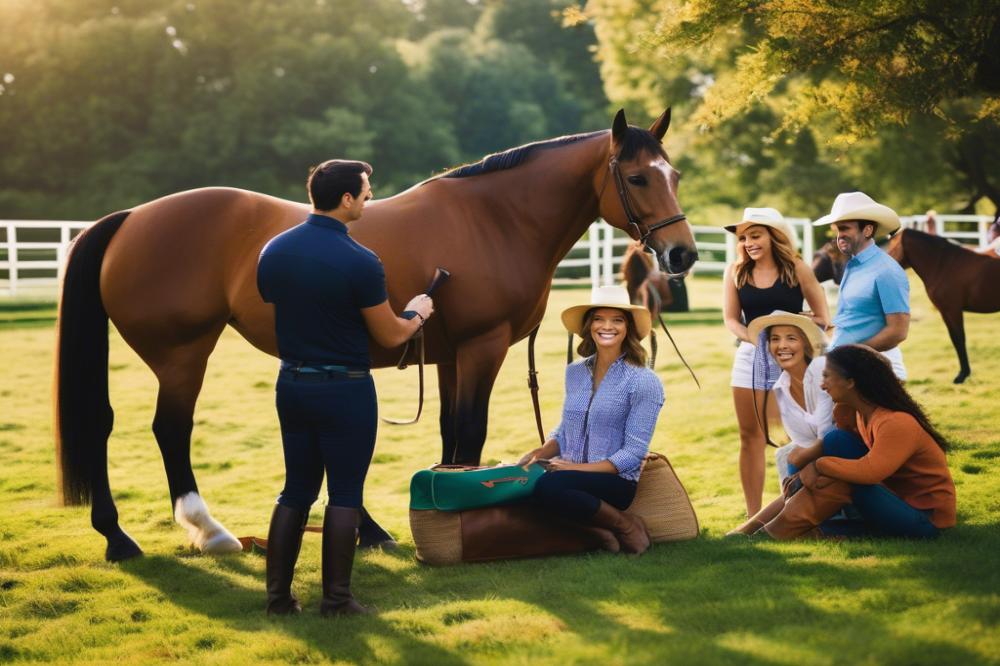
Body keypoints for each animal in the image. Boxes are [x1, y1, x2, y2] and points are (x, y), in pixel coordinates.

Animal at [55, 108, 699, 561]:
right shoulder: (482, 347)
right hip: (183, 354)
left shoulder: (448, 356)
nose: (683, 253)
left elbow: (450, 438)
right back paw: (200, 532)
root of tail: (129, 219)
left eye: (675, 174)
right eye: (637, 176)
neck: (494, 220)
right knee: (169, 429)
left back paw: (119, 534)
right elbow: (471, 434)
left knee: (108, 424)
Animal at [886, 228, 1000, 383]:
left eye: (890, 247)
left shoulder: (953, 310)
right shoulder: (945, 311)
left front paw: (962, 375)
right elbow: (954, 338)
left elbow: (959, 339)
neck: (943, 264)